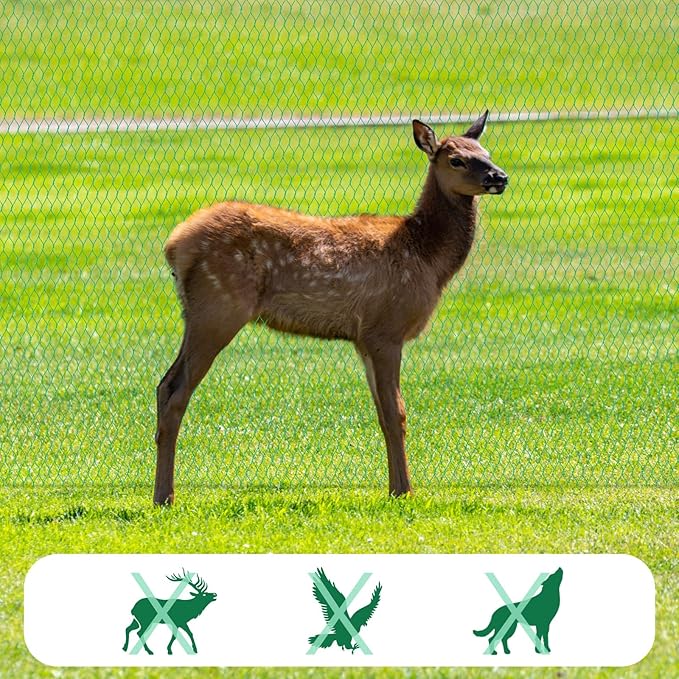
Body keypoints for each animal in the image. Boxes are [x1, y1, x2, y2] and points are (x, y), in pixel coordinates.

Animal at [154, 112, 508, 505]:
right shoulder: (386, 328)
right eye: (456, 159)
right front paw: (404, 491)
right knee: (175, 391)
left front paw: (393, 488)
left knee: (163, 385)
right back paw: (165, 497)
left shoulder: (363, 338)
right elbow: (397, 413)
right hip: (218, 308)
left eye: (486, 152)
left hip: (200, 314)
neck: (427, 259)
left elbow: (382, 414)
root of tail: (174, 246)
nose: (500, 177)